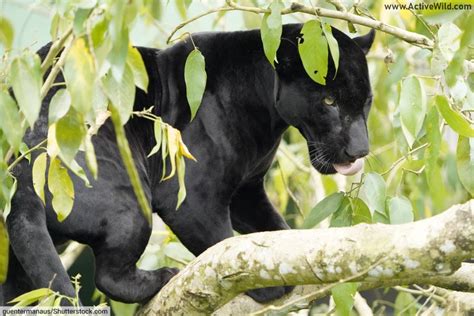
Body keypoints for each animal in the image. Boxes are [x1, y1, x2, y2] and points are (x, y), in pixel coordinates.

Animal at [1, 22, 376, 304]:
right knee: (109, 275)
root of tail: (19, 178)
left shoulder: (247, 191)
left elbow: (272, 230)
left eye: (367, 101)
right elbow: (221, 248)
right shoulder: (195, 200)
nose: (361, 150)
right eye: (329, 101)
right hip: (129, 201)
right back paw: (163, 277)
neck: (265, 109)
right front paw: (263, 285)